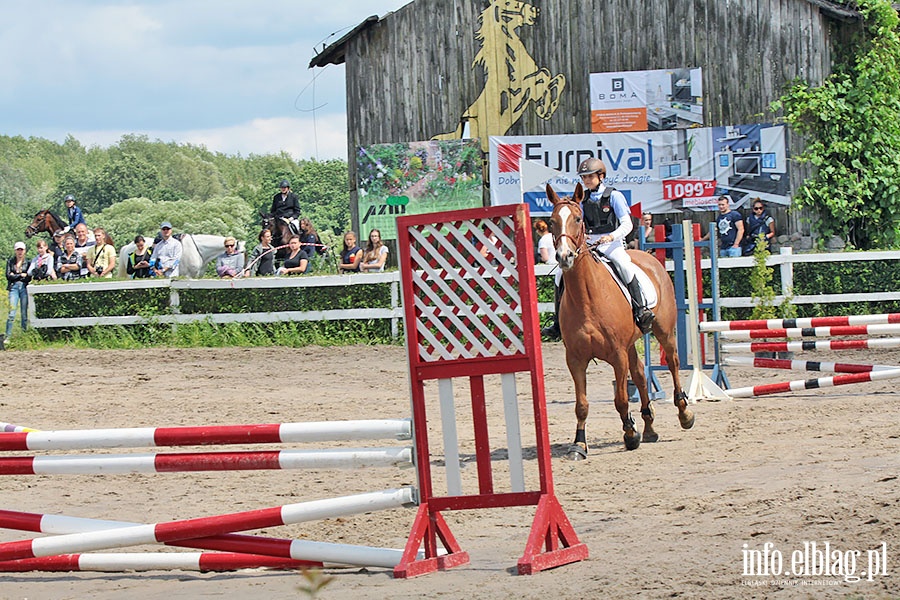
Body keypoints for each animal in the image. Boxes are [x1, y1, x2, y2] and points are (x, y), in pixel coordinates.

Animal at [540, 183, 696, 454]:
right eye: (551, 221)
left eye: (578, 218)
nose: (564, 256)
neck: (588, 297)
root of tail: (649, 257)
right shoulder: (575, 359)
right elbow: (581, 404)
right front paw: (579, 444)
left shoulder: (617, 354)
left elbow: (621, 399)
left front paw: (630, 434)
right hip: (631, 344)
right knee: (641, 375)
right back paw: (649, 427)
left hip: (663, 332)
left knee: (673, 362)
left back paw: (684, 414)